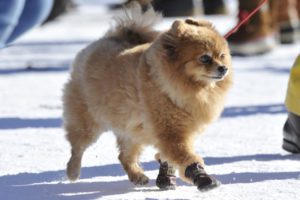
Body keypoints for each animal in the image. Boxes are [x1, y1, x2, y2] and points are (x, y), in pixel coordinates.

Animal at [62, 1, 232, 192]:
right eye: (204, 58)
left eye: (222, 56)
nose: (223, 68)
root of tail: (101, 42)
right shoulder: (171, 130)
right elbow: (184, 154)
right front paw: (201, 177)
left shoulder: (180, 130)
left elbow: (167, 156)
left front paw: (166, 177)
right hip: (88, 121)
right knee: (78, 147)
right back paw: (73, 171)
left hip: (131, 129)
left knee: (124, 155)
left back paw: (138, 176)